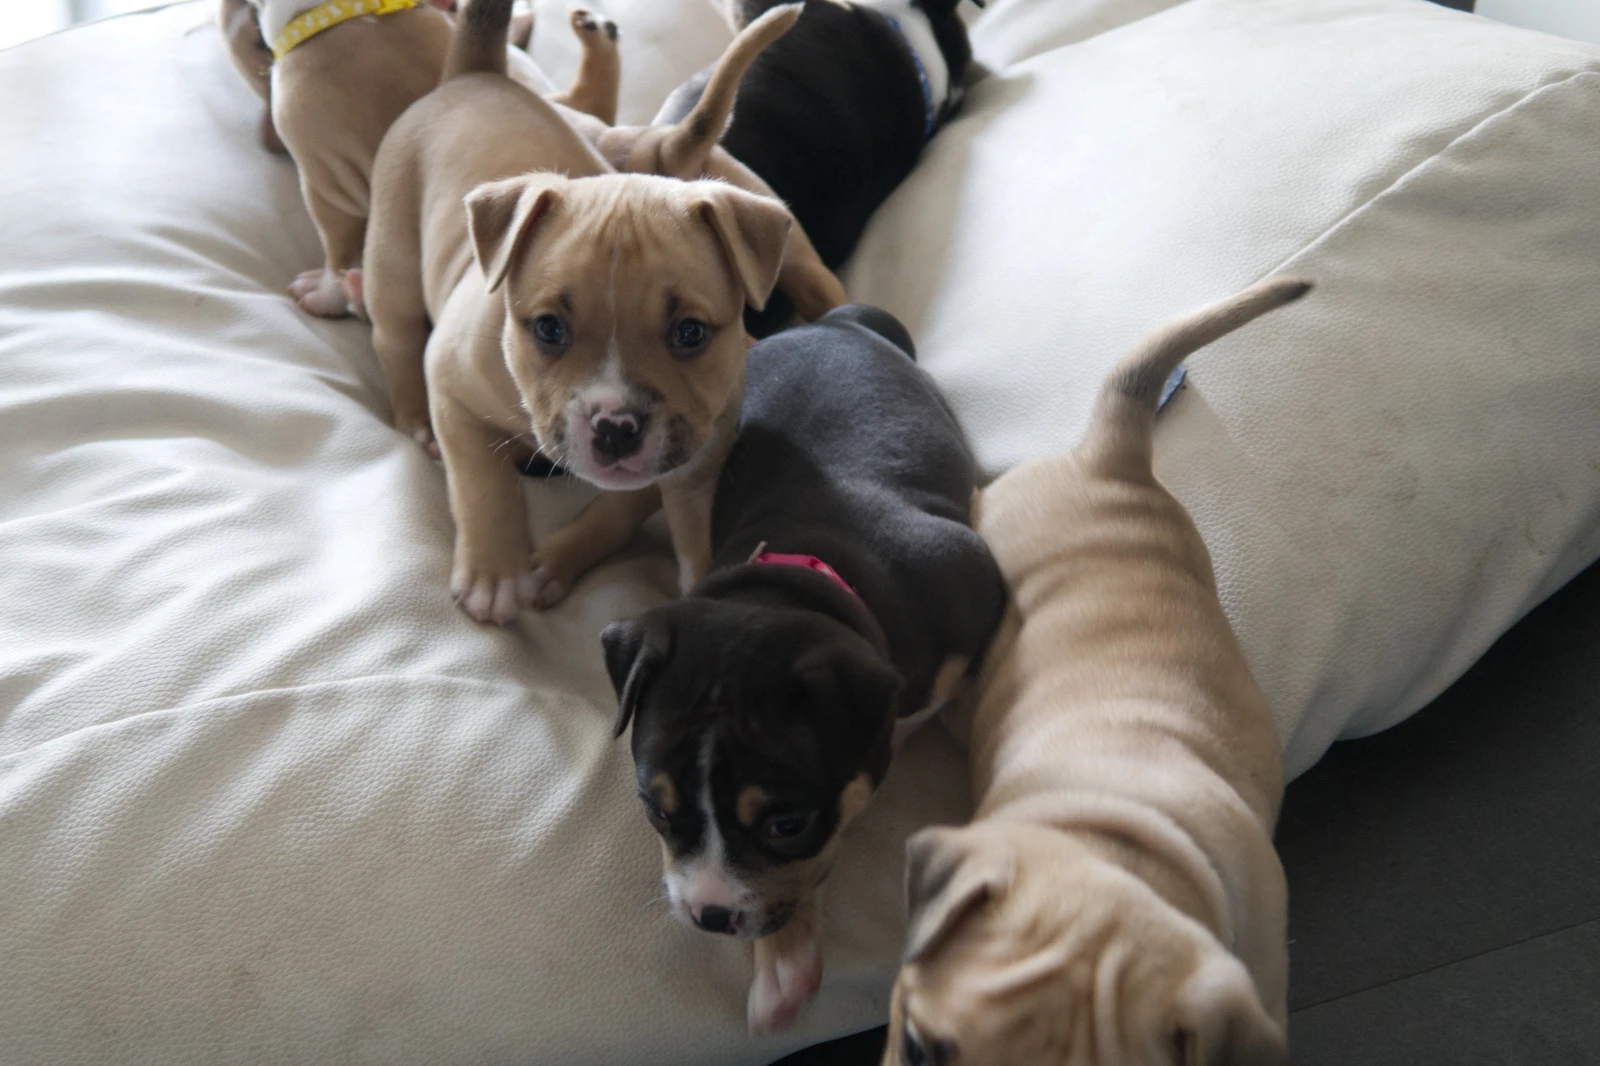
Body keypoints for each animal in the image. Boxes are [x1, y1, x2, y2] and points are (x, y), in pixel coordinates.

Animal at [363, 0, 813, 623]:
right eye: (549, 328)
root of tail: (475, 72)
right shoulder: (452, 385)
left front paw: (693, 578)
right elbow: (480, 479)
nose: (616, 427)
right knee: (396, 335)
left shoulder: (701, 446)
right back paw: (412, 416)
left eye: (690, 333)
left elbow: (675, 515)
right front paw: (495, 572)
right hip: (395, 256)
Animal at [601, 304, 1008, 1033]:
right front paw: (785, 959)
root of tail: (826, 321)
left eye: (786, 825)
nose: (709, 915)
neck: (807, 577)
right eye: (653, 808)